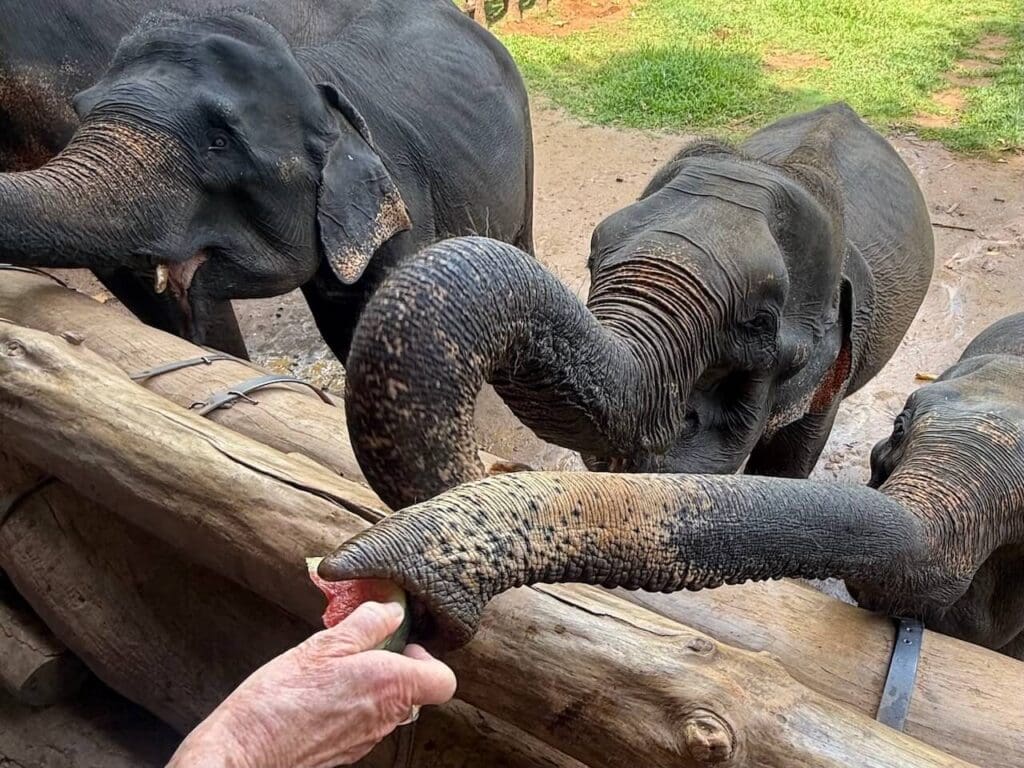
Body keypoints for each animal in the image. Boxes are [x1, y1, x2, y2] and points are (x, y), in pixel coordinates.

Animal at [343, 103, 934, 509]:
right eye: (591, 258)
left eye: (759, 323)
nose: (486, 472)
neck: (783, 168)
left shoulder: (837, 368)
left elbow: (787, 462)